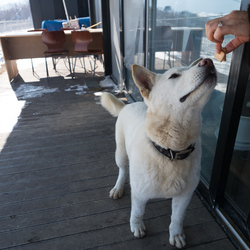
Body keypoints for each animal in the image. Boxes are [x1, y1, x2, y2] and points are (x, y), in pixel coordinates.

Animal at [100, 58, 216, 248]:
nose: (209, 61)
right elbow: (137, 212)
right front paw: (137, 226)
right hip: (121, 154)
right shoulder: (139, 193)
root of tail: (129, 104)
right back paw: (118, 187)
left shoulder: (185, 195)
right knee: (123, 170)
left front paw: (176, 234)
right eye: (174, 76)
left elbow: (177, 217)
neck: (171, 151)